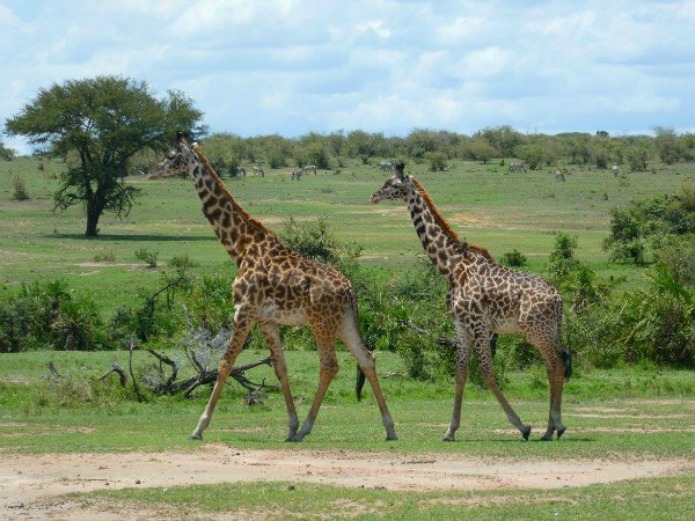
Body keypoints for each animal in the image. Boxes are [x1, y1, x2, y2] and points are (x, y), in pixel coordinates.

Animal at [151, 132, 396, 440]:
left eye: (171, 155)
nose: (150, 171)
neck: (240, 247)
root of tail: (350, 289)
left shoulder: (243, 311)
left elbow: (224, 363)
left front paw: (199, 427)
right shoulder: (266, 319)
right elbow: (280, 367)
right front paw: (290, 424)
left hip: (321, 322)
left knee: (330, 365)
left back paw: (307, 427)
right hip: (344, 322)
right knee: (367, 358)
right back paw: (389, 427)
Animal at [370, 161, 572, 438]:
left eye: (393, 184)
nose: (374, 196)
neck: (452, 268)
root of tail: (558, 299)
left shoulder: (479, 325)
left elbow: (487, 372)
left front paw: (522, 425)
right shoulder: (461, 326)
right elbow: (461, 374)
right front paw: (450, 431)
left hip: (535, 331)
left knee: (557, 363)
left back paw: (556, 426)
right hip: (547, 331)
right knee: (554, 365)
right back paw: (551, 428)